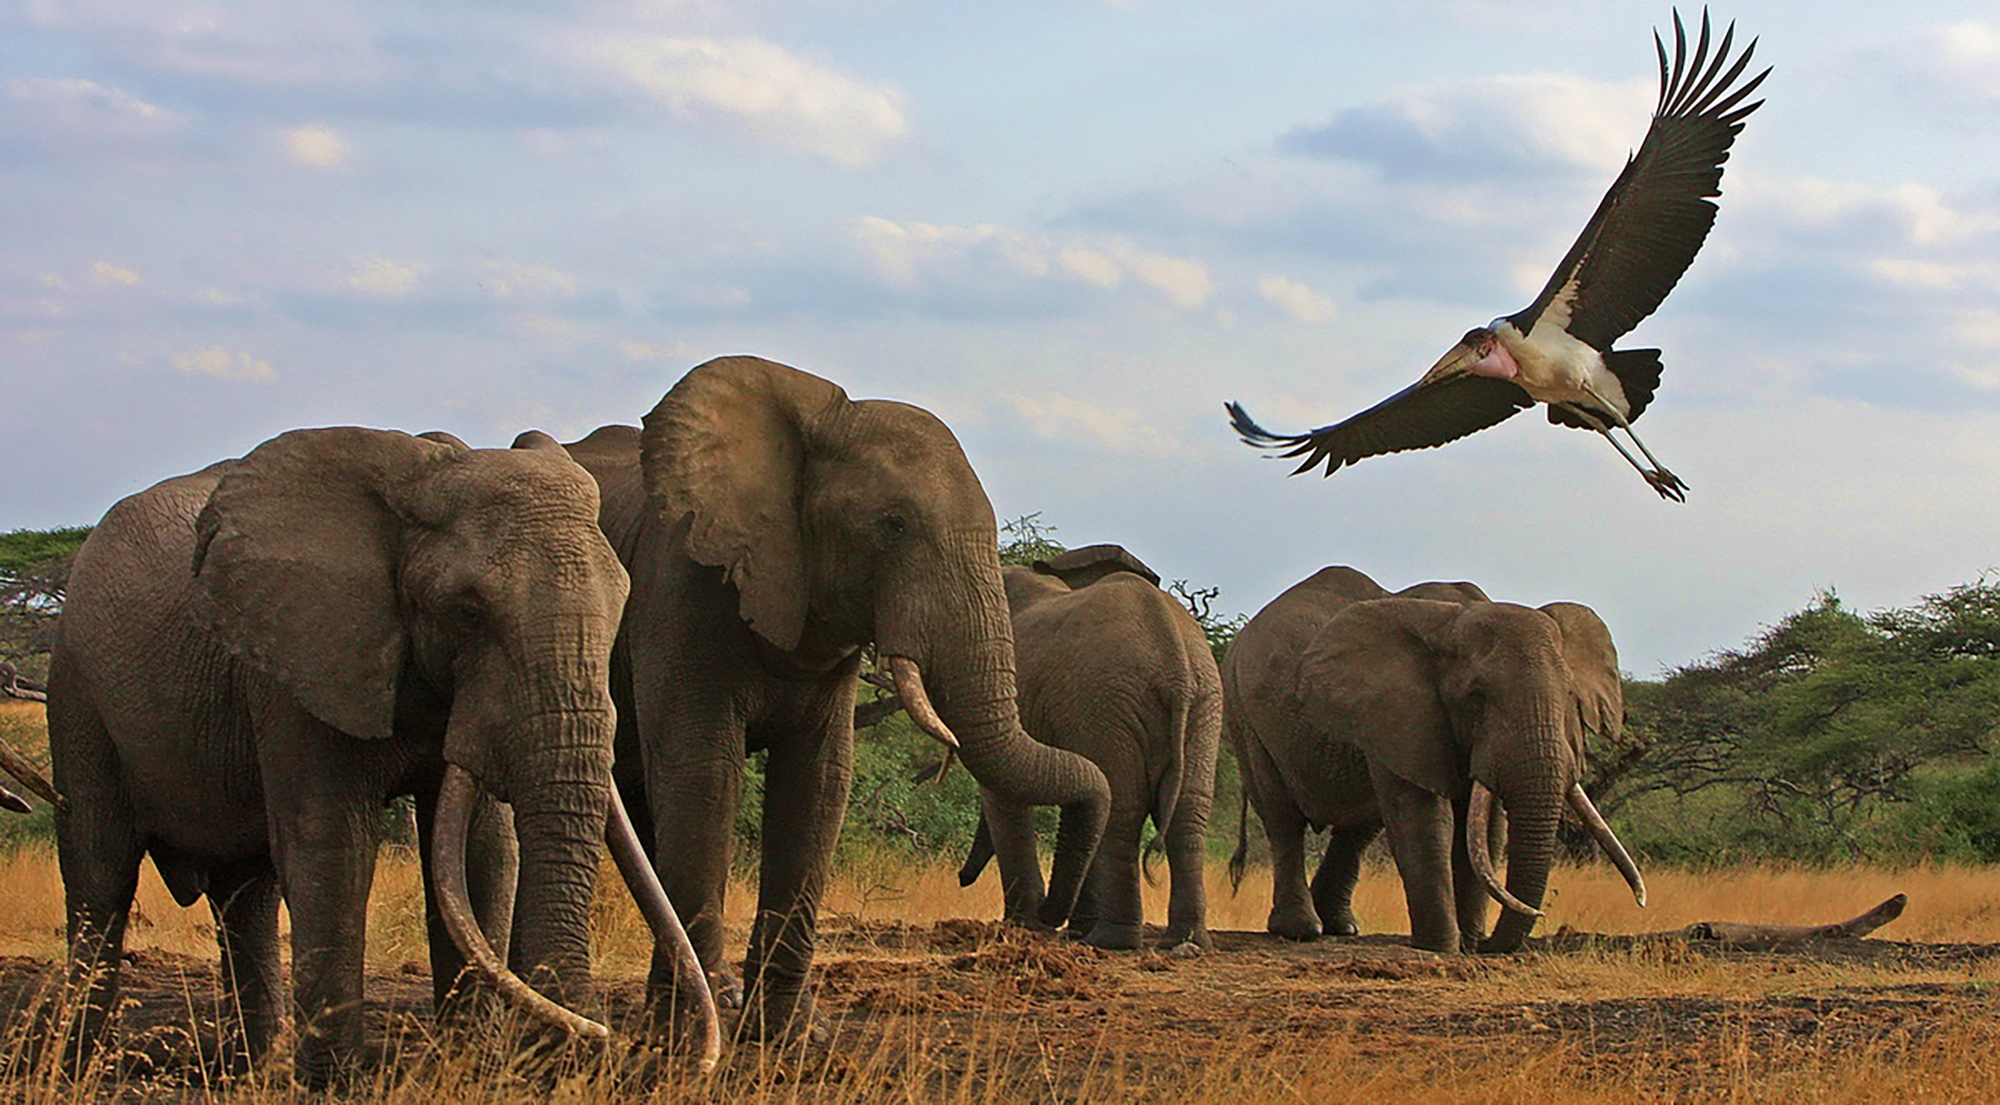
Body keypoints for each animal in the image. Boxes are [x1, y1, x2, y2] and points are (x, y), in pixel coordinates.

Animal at [45, 426, 710, 1084]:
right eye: (468, 609)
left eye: (622, 602)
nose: (605, 1041)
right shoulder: (300, 658)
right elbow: (335, 848)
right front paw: (335, 1085)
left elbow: (482, 855)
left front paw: (464, 1070)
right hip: (76, 688)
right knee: (100, 872)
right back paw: (77, 1068)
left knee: (246, 894)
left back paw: (253, 1072)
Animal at [562, 355, 1112, 1040]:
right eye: (892, 526)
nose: (1054, 924)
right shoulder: (680, 581)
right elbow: (704, 771)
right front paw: (691, 1035)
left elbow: (820, 779)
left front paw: (794, 1035)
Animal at [957, 544, 1221, 953]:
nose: (961, 879)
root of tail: (1175, 664)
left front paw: (1025, 926)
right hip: (1202, 704)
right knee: (1187, 813)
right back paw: (1184, 943)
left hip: (1107, 700)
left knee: (1124, 809)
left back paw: (1110, 941)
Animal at [1224, 566, 1644, 954]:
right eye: (1476, 696)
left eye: (1571, 696)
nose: (1487, 944)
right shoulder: (1400, 711)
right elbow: (1424, 819)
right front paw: (1441, 947)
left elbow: (1488, 829)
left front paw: (1468, 944)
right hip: (1244, 712)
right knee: (1282, 816)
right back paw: (1301, 929)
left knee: (1359, 827)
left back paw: (1342, 927)